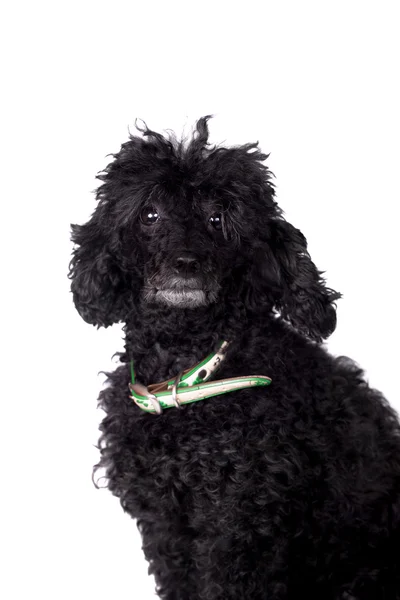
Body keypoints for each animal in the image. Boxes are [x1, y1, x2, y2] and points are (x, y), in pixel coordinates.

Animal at [69, 115, 400, 596]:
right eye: (150, 214)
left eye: (217, 218)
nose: (185, 263)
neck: (186, 373)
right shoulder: (164, 523)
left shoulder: (241, 524)